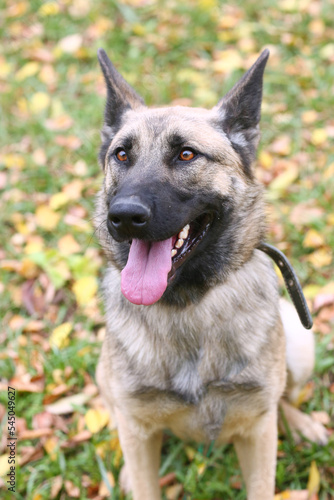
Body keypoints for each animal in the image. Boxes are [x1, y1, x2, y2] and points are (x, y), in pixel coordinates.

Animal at [94, 48, 328, 498]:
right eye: (122, 155)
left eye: (186, 154)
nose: (124, 216)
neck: (188, 306)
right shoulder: (137, 424)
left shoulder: (257, 435)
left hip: (299, 342)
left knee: (283, 396)